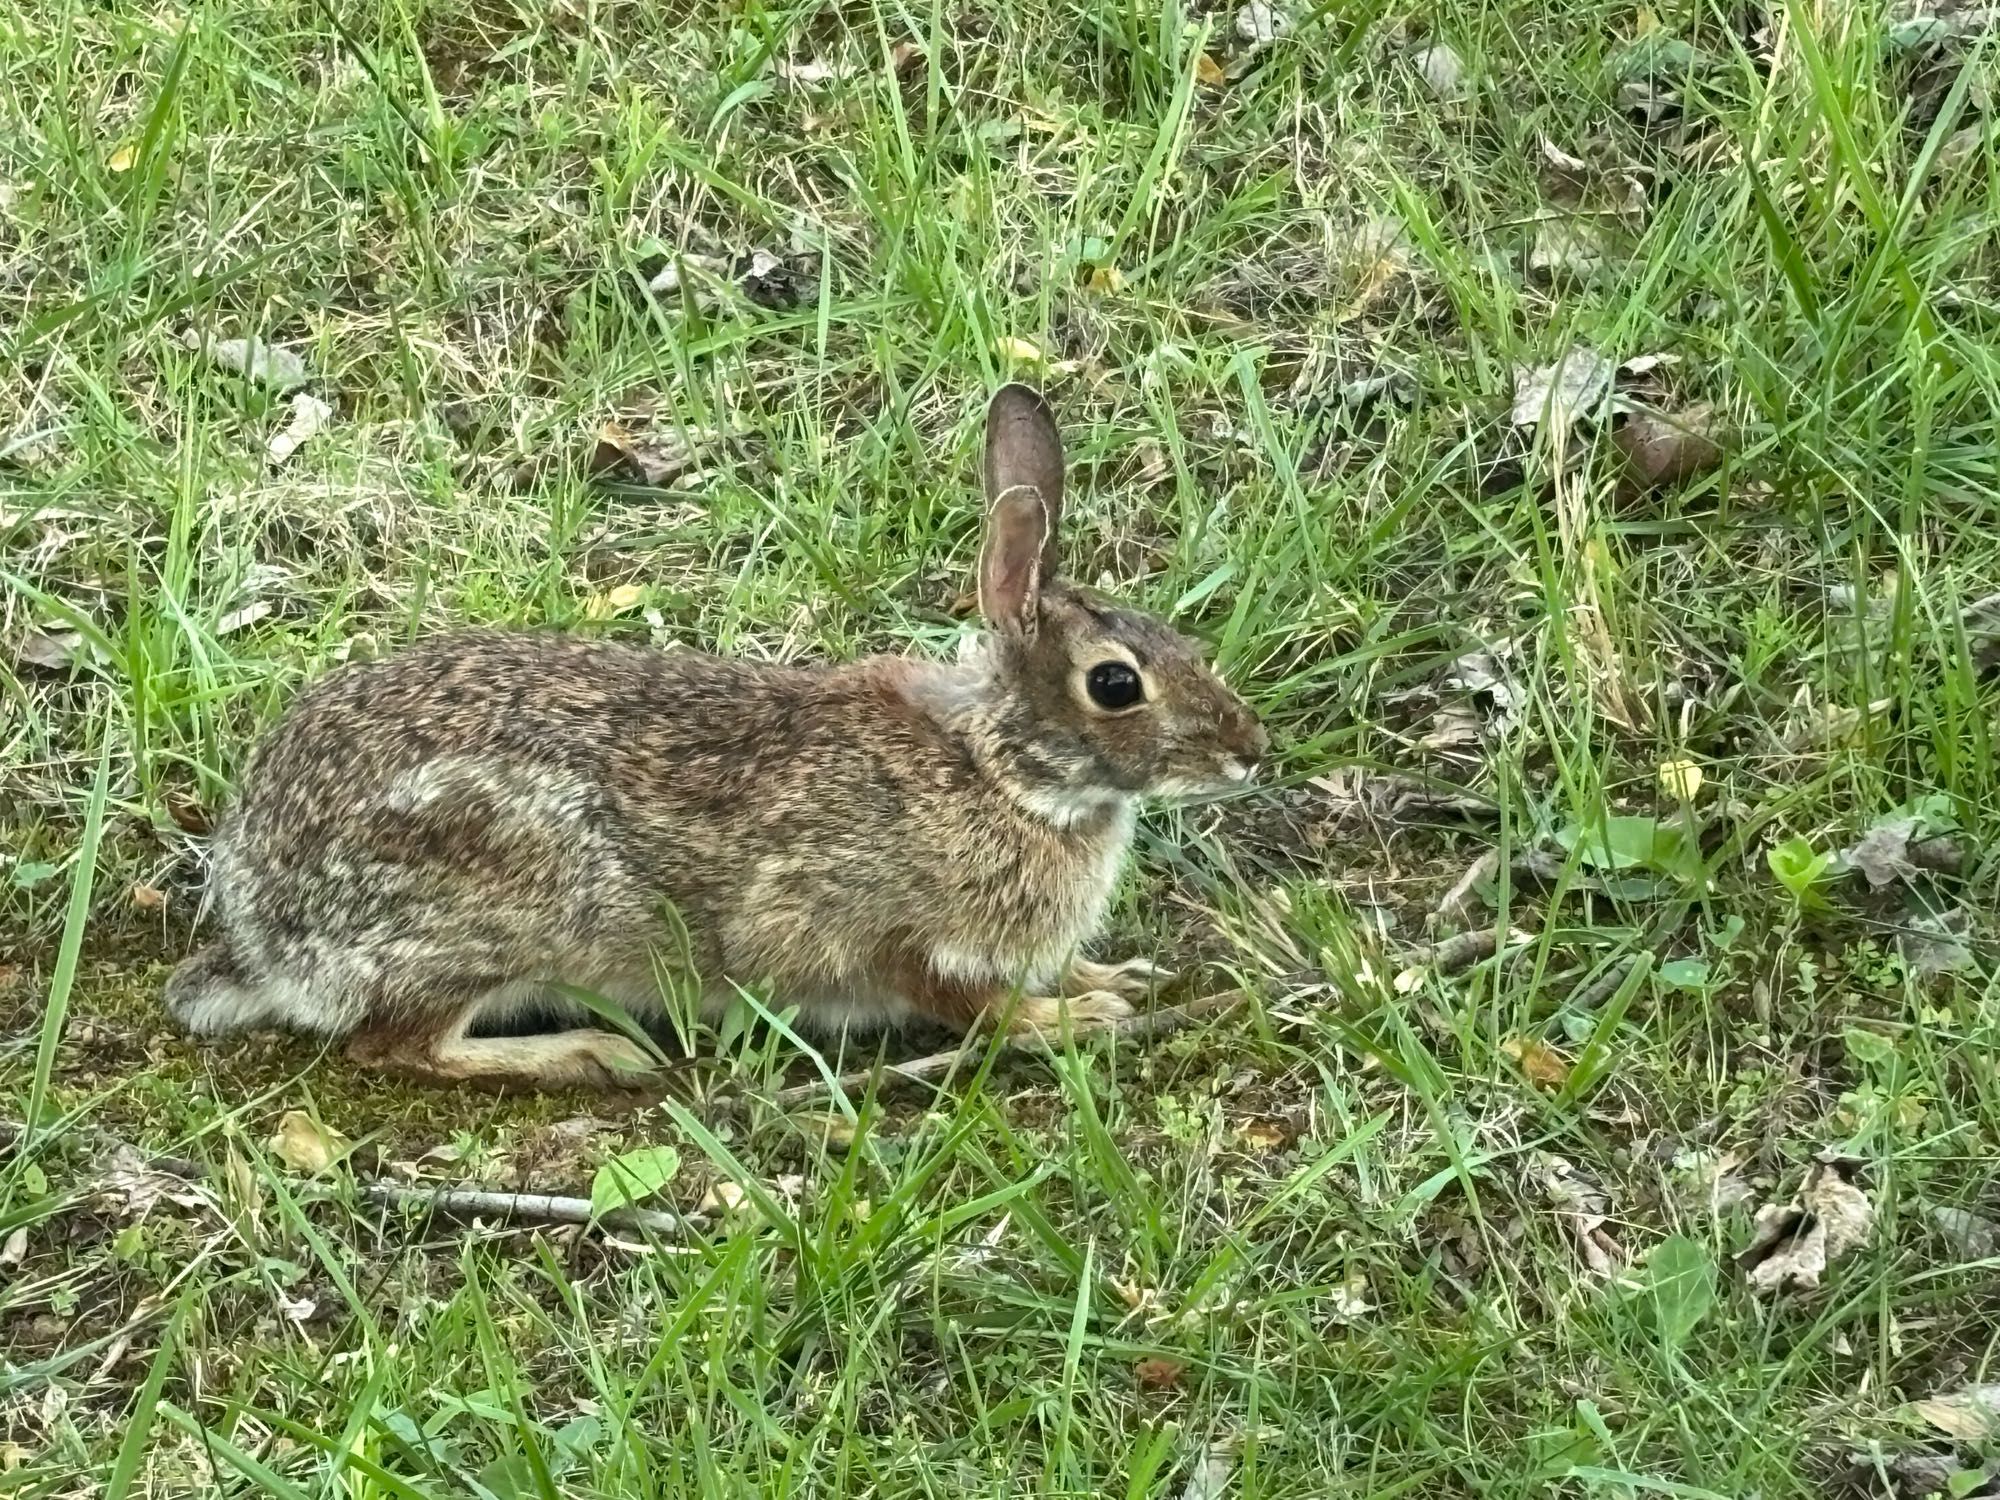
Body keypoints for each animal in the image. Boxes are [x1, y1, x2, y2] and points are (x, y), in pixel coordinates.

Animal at [172, 388, 1264, 1096]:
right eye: (1115, 683)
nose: (1247, 749)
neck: (998, 770)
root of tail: (263, 933)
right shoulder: (876, 928)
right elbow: (967, 1004)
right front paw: (1069, 1020)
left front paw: (1109, 982)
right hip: (490, 910)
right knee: (395, 1047)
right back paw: (588, 1056)